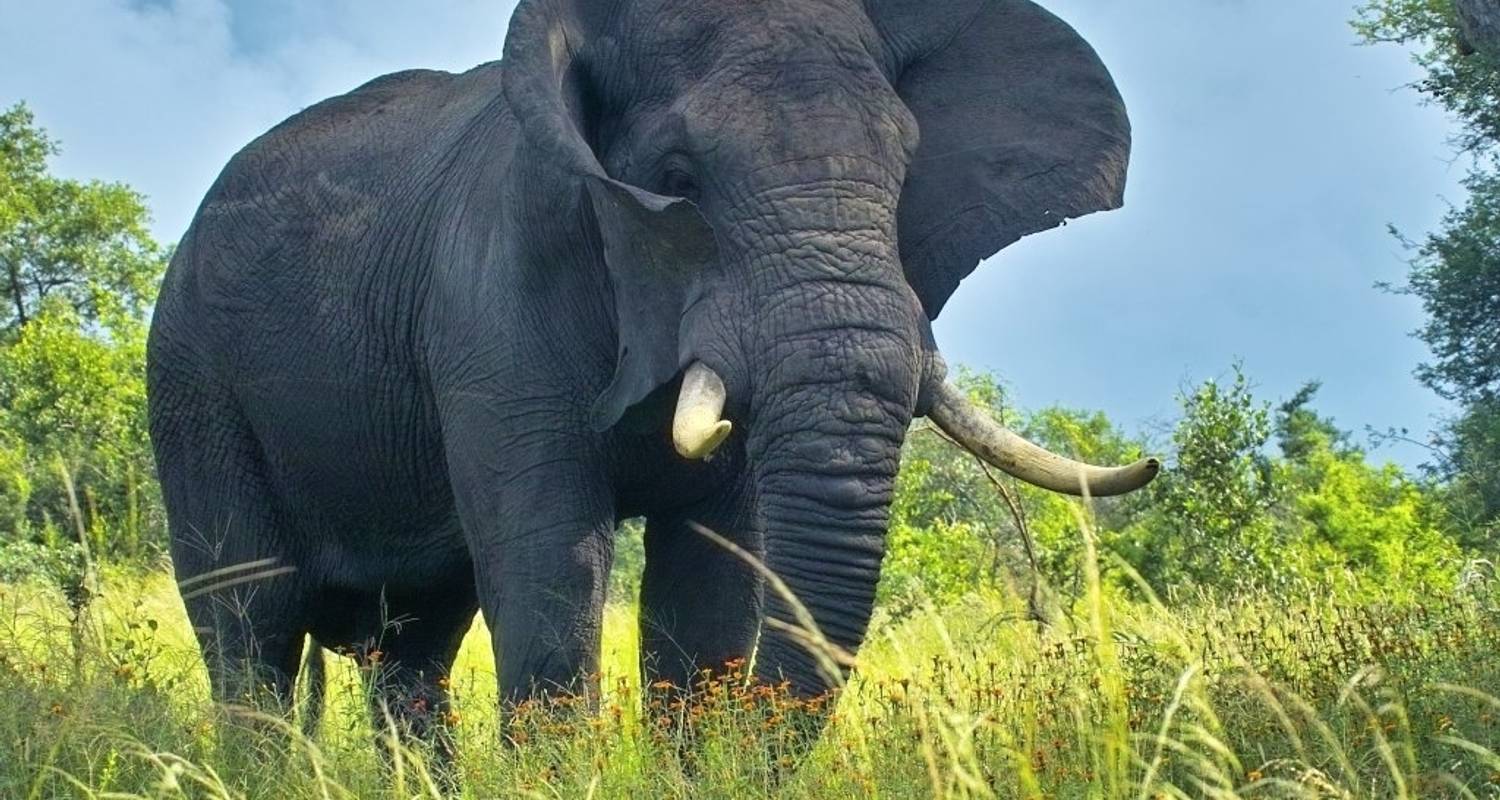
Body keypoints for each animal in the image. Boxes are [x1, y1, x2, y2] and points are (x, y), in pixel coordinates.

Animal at [146, 0, 1158, 741]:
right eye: (677, 179)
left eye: (906, 172)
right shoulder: (495, 292)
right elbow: (552, 560)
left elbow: (709, 583)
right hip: (191, 381)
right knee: (250, 626)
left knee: (416, 645)